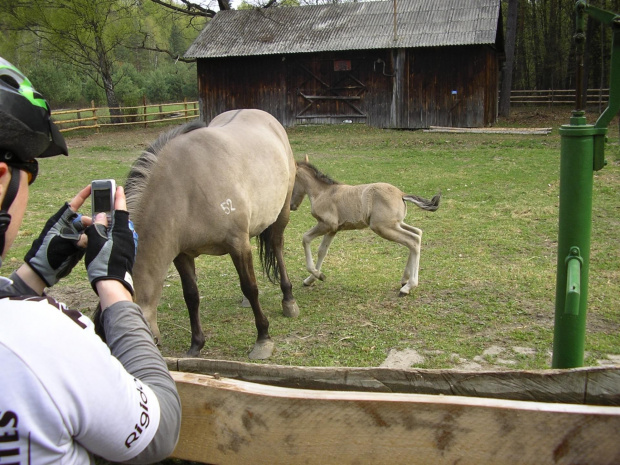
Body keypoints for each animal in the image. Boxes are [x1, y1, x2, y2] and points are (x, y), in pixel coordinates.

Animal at [125, 109, 298, 358]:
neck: (185, 190)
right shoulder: (182, 254)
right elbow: (191, 296)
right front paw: (196, 344)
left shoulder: (237, 245)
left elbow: (251, 287)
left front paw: (263, 339)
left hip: (281, 212)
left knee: (277, 246)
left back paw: (289, 300)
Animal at [290, 160, 440, 296]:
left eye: (291, 183)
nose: (291, 206)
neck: (324, 192)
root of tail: (402, 194)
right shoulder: (333, 229)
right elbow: (322, 251)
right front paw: (312, 278)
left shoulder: (326, 225)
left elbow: (305, 238)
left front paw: (316, 274)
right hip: (396, 224)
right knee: (417, 234)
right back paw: (404, 280)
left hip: (383, 227)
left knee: (412, 240)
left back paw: (408, 287)